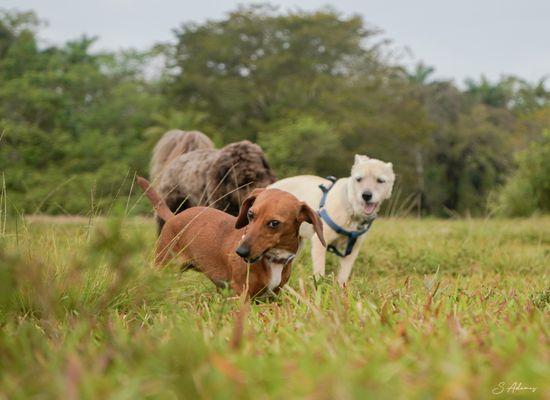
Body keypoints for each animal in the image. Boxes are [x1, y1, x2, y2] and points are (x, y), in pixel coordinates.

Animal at [270, 155, 394, 286]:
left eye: (380, 180)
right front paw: (319, 287)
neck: (351, 209)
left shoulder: (351, 252)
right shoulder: (319, 243)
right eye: (359, 179)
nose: (366, 195)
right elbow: (319, 273)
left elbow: (343, 277)